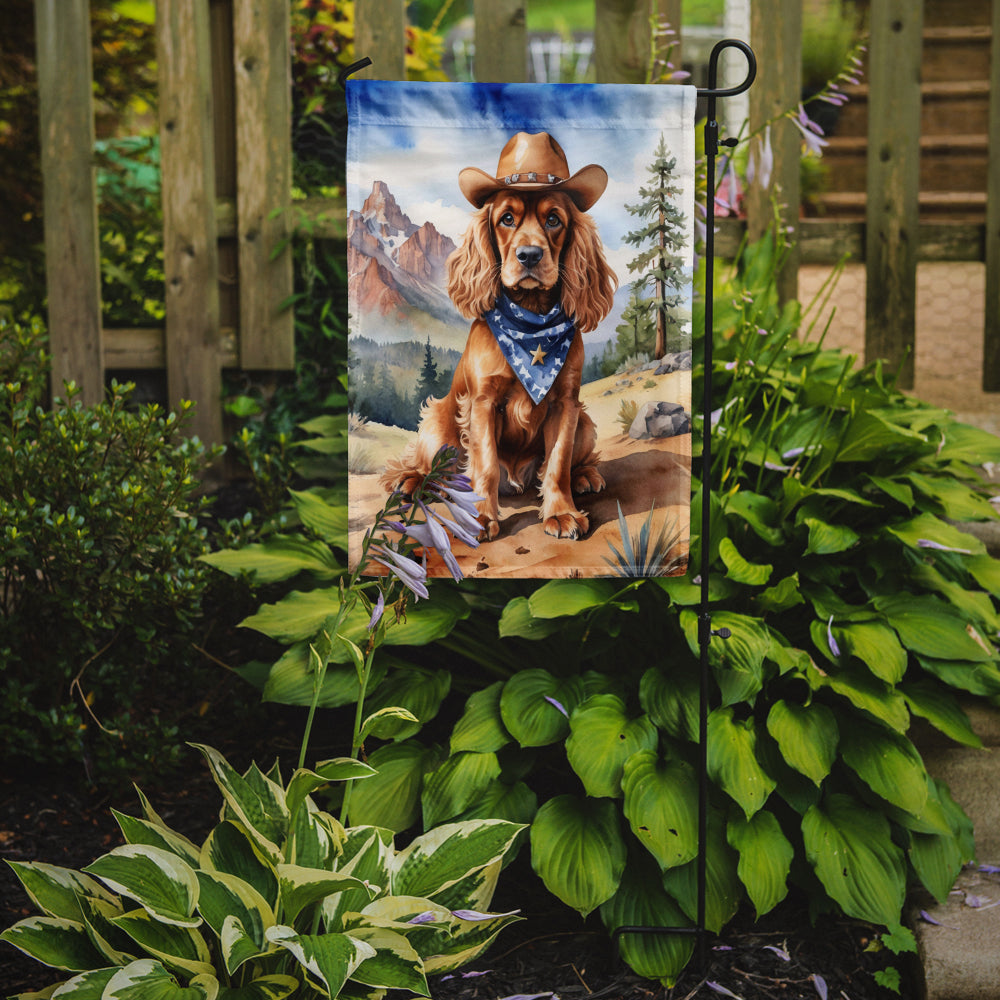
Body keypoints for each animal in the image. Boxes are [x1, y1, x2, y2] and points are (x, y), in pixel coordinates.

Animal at [380, 133, 616, 544]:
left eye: (554, 219)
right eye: (506, 219)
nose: (529, 255)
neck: (531, 324)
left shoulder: (567, 404)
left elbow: (557, 462)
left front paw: (562, 512)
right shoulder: (483, 403)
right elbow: (486, 463)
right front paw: (480, 518)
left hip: (585, 421)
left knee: (571, 461)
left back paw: (585, 475)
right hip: (437, 424)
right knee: (431, 466)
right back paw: (412, 480)